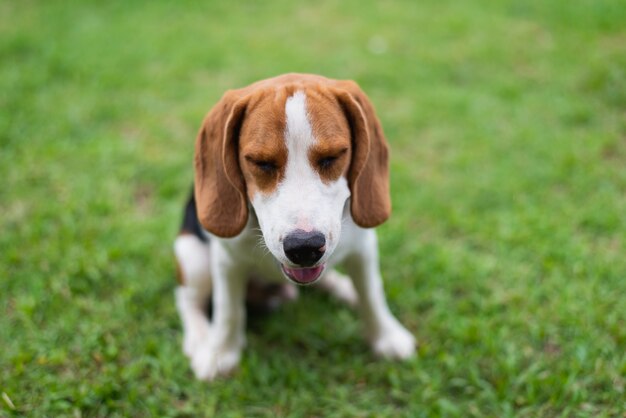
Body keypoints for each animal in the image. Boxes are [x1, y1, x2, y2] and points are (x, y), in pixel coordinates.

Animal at [173, 73, 414, 380]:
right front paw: (220, 353)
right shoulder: (227, 261)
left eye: (333, 157)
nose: (304, 247)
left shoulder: (364, 248)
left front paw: (386, 335)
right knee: (187, 300)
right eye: (261, 163)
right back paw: (200, 337)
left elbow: (372, 294)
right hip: (191, 255)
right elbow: (228, 310)